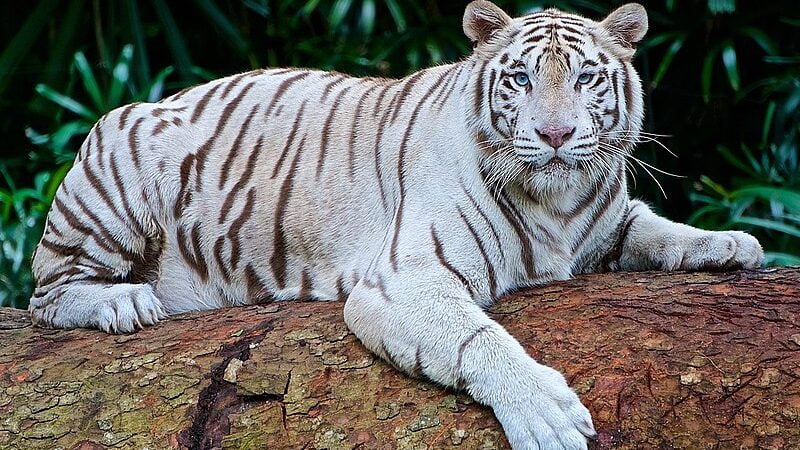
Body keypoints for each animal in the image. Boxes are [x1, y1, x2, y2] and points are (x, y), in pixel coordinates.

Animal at [29, 1, 764, 448]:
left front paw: (730, 243)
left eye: (585, 78)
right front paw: (546, 414)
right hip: (116, 159)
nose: (556, 135)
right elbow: (480, 340)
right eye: (521, 79)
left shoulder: (607, 222)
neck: (557, 203)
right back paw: (124, 303)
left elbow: (657, 228)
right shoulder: (407, 280)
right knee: (46, 293)